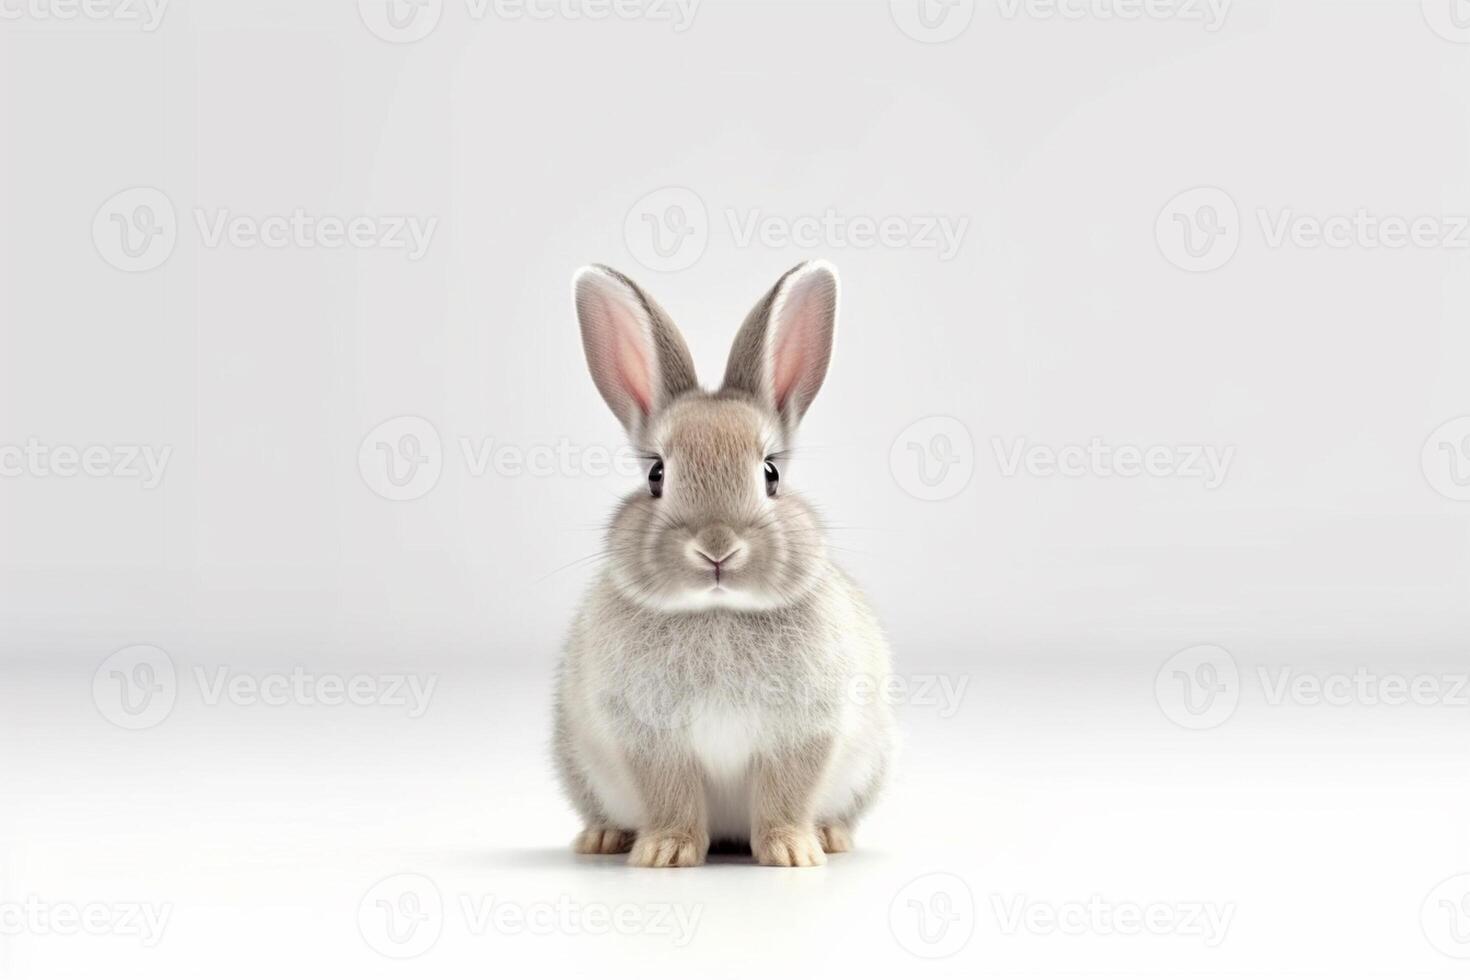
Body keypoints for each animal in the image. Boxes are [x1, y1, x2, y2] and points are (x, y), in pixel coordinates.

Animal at [552, 258, 887, 863]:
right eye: (656, 474)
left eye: (771, 474)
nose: (716, 547)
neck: (718, 612)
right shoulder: (649, 740)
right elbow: (672, 797)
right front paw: (665, 853)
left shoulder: (804, 734)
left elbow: (784, 795)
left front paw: (792, 853)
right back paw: (604, 838)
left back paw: (831, 837)